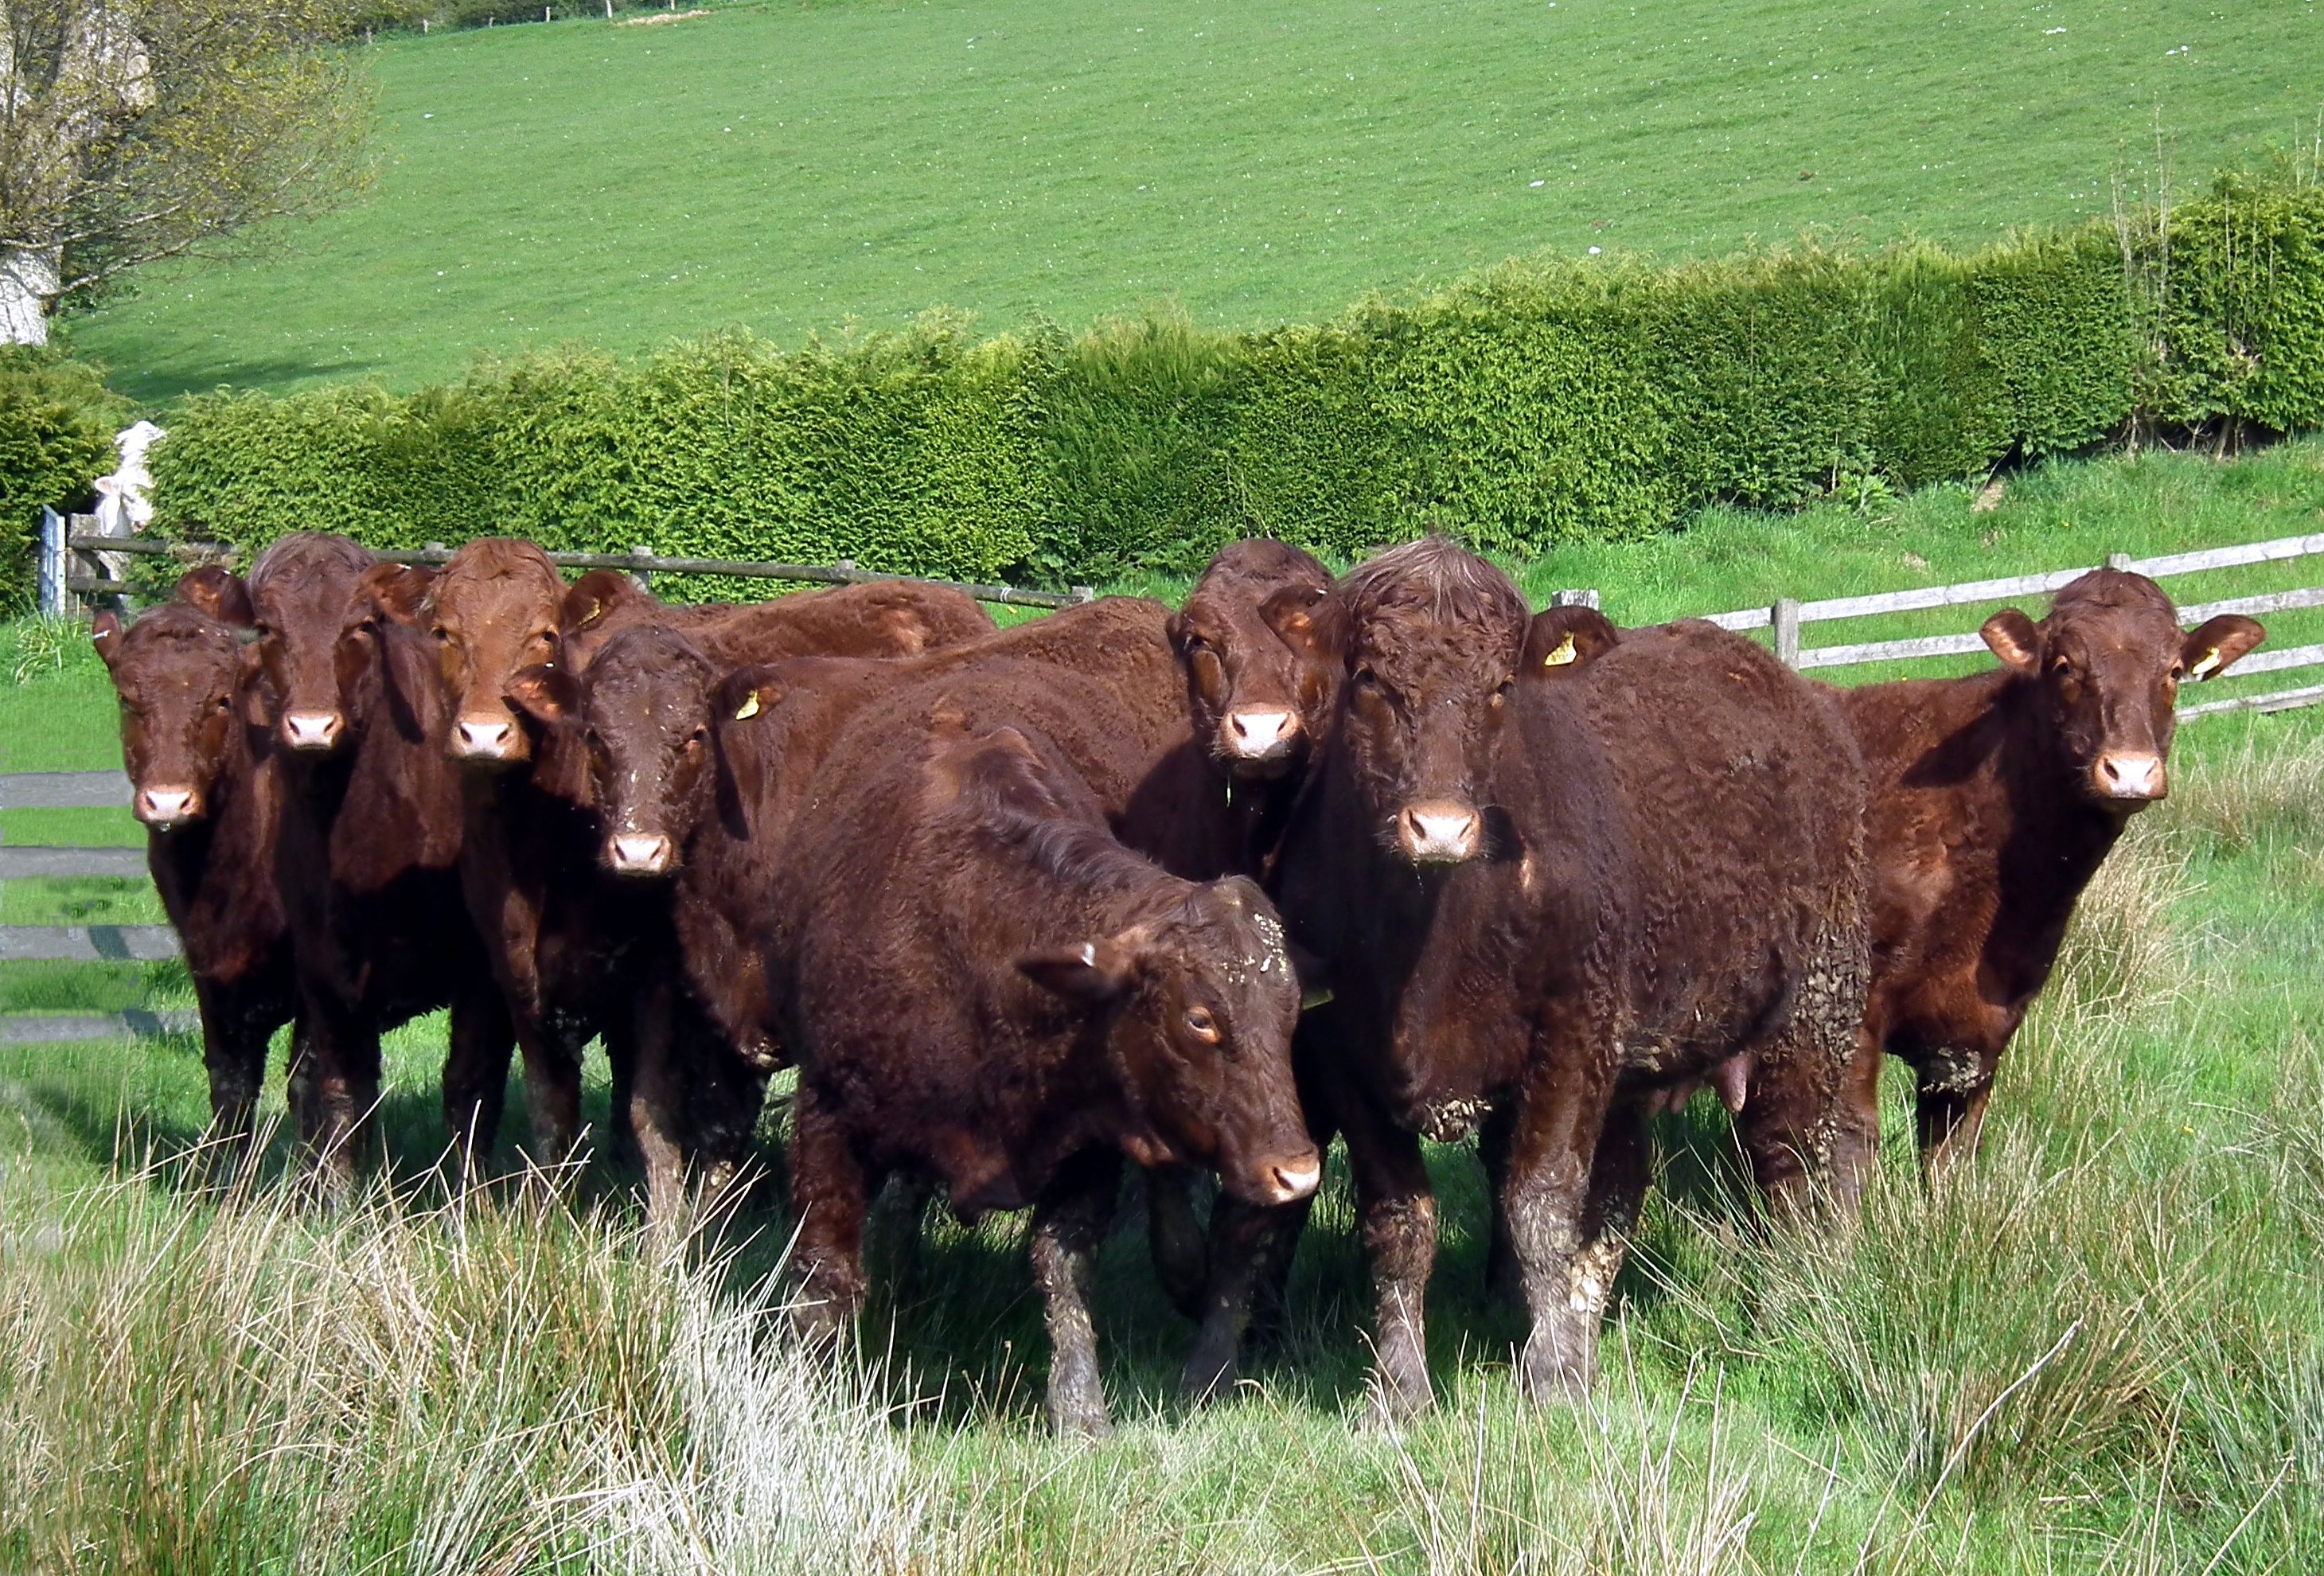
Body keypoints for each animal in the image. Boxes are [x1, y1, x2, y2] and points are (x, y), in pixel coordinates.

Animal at [771, 701, 1320, 1441]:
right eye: (1200, 1018)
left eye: (1290, 1012)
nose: (1297, 1172)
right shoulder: (828, 1117)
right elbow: (825, 1276)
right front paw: (809, 1395)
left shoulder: (1085, 1148)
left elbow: (1065, 1272)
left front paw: (1081, 1411)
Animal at [1199, 544, 1868, 1422]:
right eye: (1370, 679)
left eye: (1500, 689)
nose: (1440, 827)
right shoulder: (1343, 1053)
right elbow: (1399, 1221)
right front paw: (1400, 1389)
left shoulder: (1572, 1034)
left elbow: (1540, 1207)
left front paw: (1551, 1382)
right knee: (1622, 1186)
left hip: (1815, 1005)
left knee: (1790, 1163)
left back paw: (1784, 1311)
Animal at [1840, 574, 2259, 1167]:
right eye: (2065, 667)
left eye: (2174, 671)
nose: (2131, 771)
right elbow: (1848, 1146)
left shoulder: (1982, 1028)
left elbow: (1952, 1153)